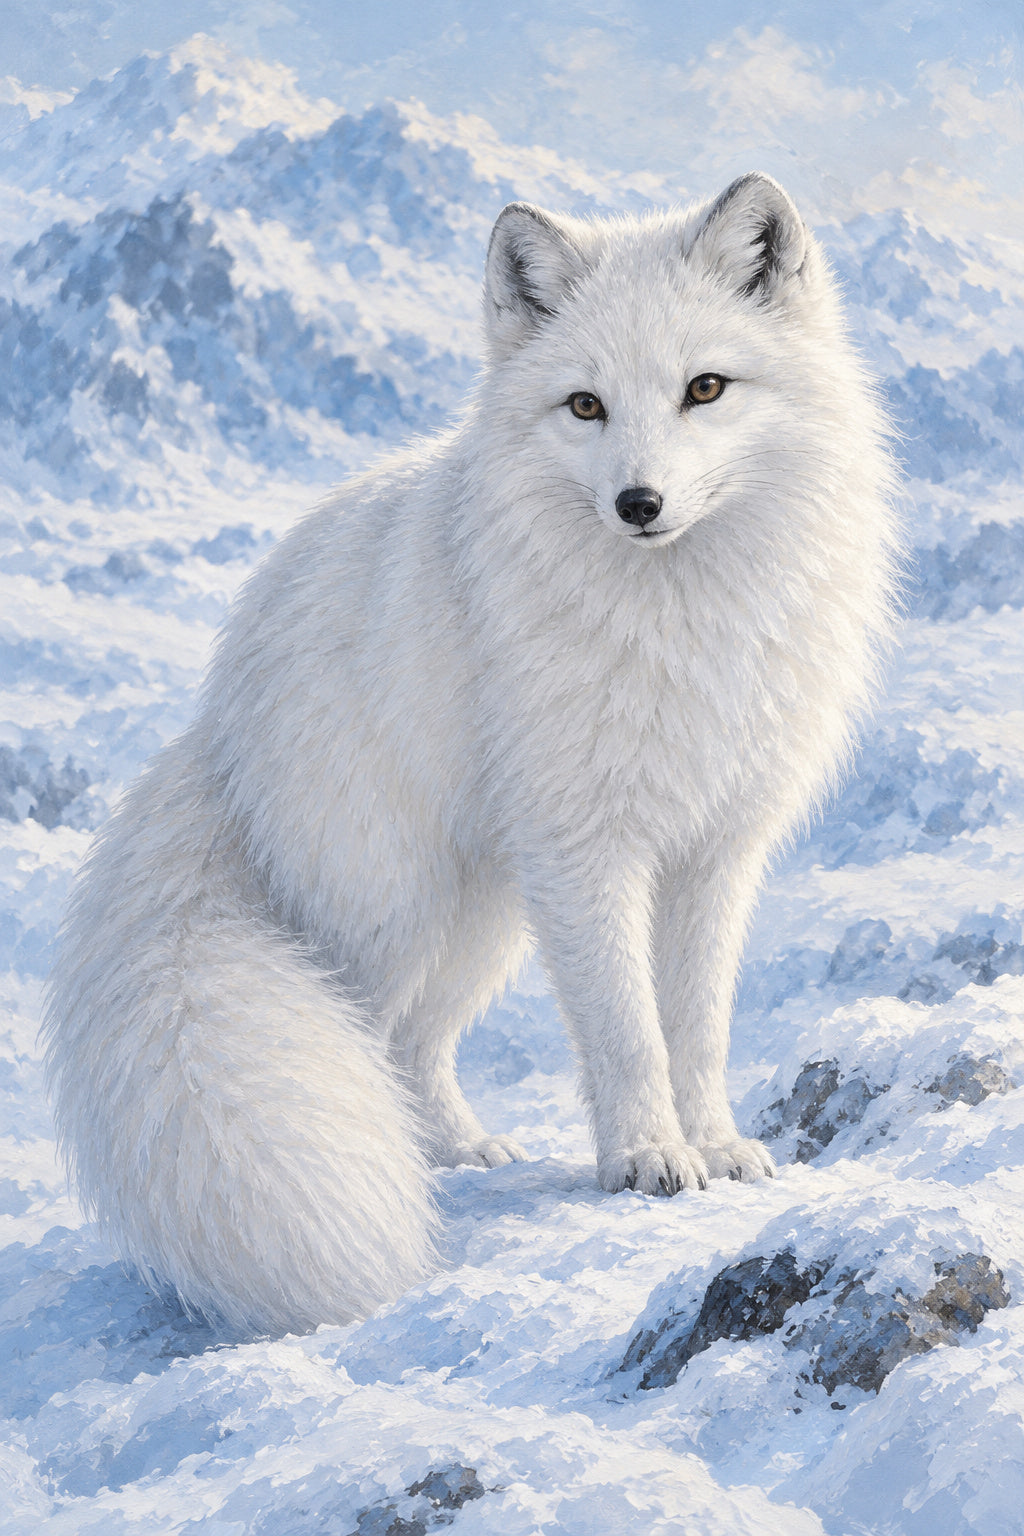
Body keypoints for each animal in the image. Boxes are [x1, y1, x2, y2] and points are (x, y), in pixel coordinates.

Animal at [43, 173, 897, 1333]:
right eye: (584, 406)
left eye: (706, 388)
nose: (638, 504)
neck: (681, 623)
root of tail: (216, 721)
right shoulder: (586, 852)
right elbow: (627, 1031)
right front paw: (647, 1160)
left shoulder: (715, 851)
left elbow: (697, 1025)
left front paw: (716, 1148)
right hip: (398, 913)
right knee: (368, 1042)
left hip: (484, 913)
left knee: (415, 1045)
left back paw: (455, 1151)